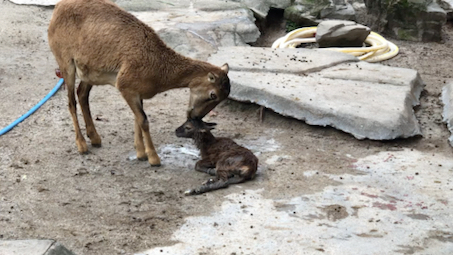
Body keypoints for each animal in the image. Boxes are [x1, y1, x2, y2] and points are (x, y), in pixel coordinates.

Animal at [47, 0, 230, 166]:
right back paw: (82, 145)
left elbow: (137, 119)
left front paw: (141, 153)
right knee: (71, 102)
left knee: (82, 94)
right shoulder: (125, 87)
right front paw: (153, 158)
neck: (159, 66)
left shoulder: (136, 92)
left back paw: (95, 138)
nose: (196, 116)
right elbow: (143, 120)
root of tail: (58, 8)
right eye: (213, 95)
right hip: (66, 64)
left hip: (89, 73)